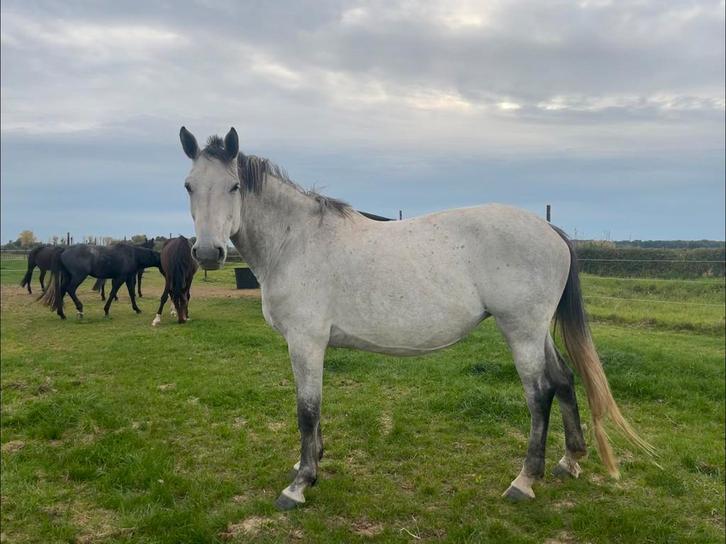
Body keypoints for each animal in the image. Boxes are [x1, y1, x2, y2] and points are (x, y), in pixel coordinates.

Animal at [179, 127, 654, 510]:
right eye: (188, 186)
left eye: (234, 186)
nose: (208, 252)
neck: (296, 241)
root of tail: (549, 230)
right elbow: (313, 410)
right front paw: (308, 463)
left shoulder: (305, 341)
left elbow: (307, 410)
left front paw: (299, 484)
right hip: (538, 332)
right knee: (564, 379)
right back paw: (570, 461)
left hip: (521, 330)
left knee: (540, 394)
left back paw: (524, 481)